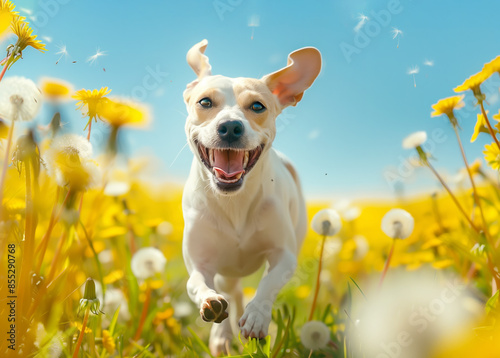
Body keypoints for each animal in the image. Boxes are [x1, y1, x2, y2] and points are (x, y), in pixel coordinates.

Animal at [182, 39, 322, 356]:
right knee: (230, 292)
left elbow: (269, 282)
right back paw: (222, 335)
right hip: (226, 271)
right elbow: (196, 284)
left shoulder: (284, 255)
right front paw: (211, 304)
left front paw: (257, 317)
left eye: (257, 106)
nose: (231, 127)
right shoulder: (200, 262)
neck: (234, 201)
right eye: (205, 102)